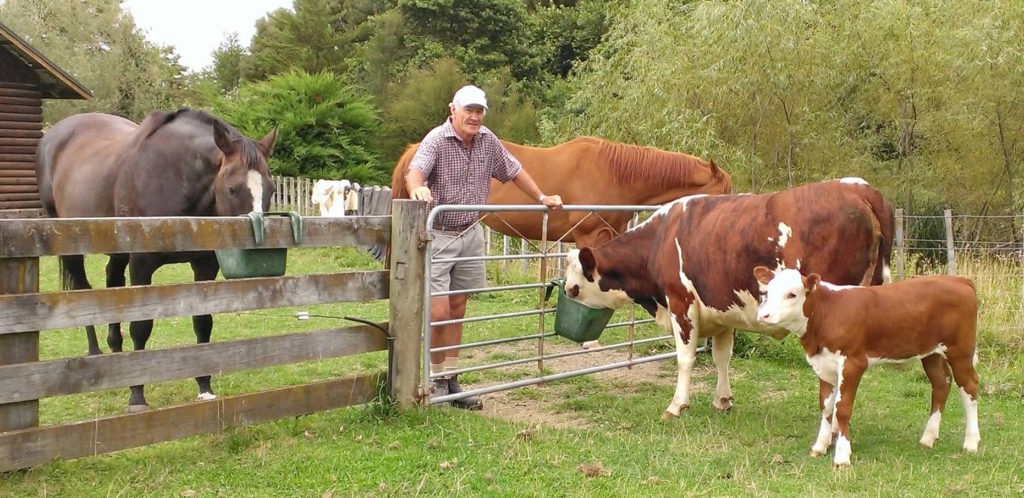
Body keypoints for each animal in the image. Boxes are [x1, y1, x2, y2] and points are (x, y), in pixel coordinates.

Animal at [36, 109, 278, 411]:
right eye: (232, 189)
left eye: (271, 188)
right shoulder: (141, 264)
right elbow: (141, 327)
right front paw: (137, 395)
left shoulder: (205, 266)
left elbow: (203, 322)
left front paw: (204, 387)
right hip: (71, 244)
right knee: (83, 291)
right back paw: (96, 352)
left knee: (113, 284)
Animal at [565, 177, 892, 418]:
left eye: (575, 286)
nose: (566, 290)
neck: (659, 239)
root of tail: (857, 186)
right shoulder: (722, 310)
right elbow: (722, 356)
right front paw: (722, 400)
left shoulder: (681, 303)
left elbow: (685, 358)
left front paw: (676, 405)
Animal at [757, 268, 978, 467]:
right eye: (767, 292)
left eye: (792, 294)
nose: (763, 316)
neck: (827, 312)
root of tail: (960, 280)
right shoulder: (824, 366)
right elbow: (826, 407)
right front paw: (820, 446)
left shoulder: (853, 363)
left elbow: (842, 409)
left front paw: (842, 456)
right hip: (931, 353)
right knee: (941, 384)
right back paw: (928, 438)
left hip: (960, 351)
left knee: (969, 387)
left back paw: (971, 442)